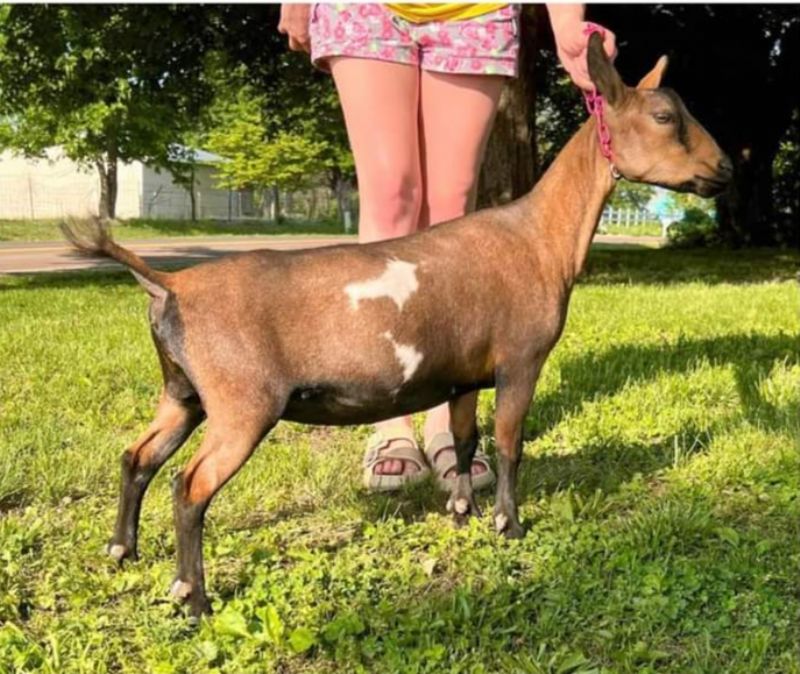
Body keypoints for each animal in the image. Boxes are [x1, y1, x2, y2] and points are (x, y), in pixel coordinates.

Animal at [64, 35, 732, 616]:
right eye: (666, 115)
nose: (725, 169)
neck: (538, 236)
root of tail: (170, 285)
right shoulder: (520, 359)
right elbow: (510, 443)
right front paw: (509, 524)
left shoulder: (464, 374)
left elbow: (465, 440)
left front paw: (463, 510)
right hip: (241, 402)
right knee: (189, 485)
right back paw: (194, 597)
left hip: (183, 392)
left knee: (138, 456)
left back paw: (122, 549)